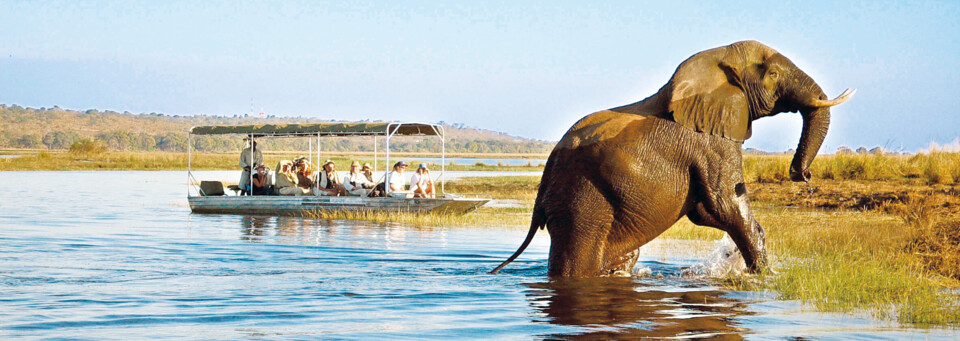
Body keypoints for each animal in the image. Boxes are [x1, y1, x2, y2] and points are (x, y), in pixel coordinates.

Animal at [496, 39, 856, 276]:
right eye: (773, 75)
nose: (802, 174)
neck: (717, 59)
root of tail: (544, 181)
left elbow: (705, 211)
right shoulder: (711, 141)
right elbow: (725, 205)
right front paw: (762, 278)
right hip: (581, 202)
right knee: (578, 260)